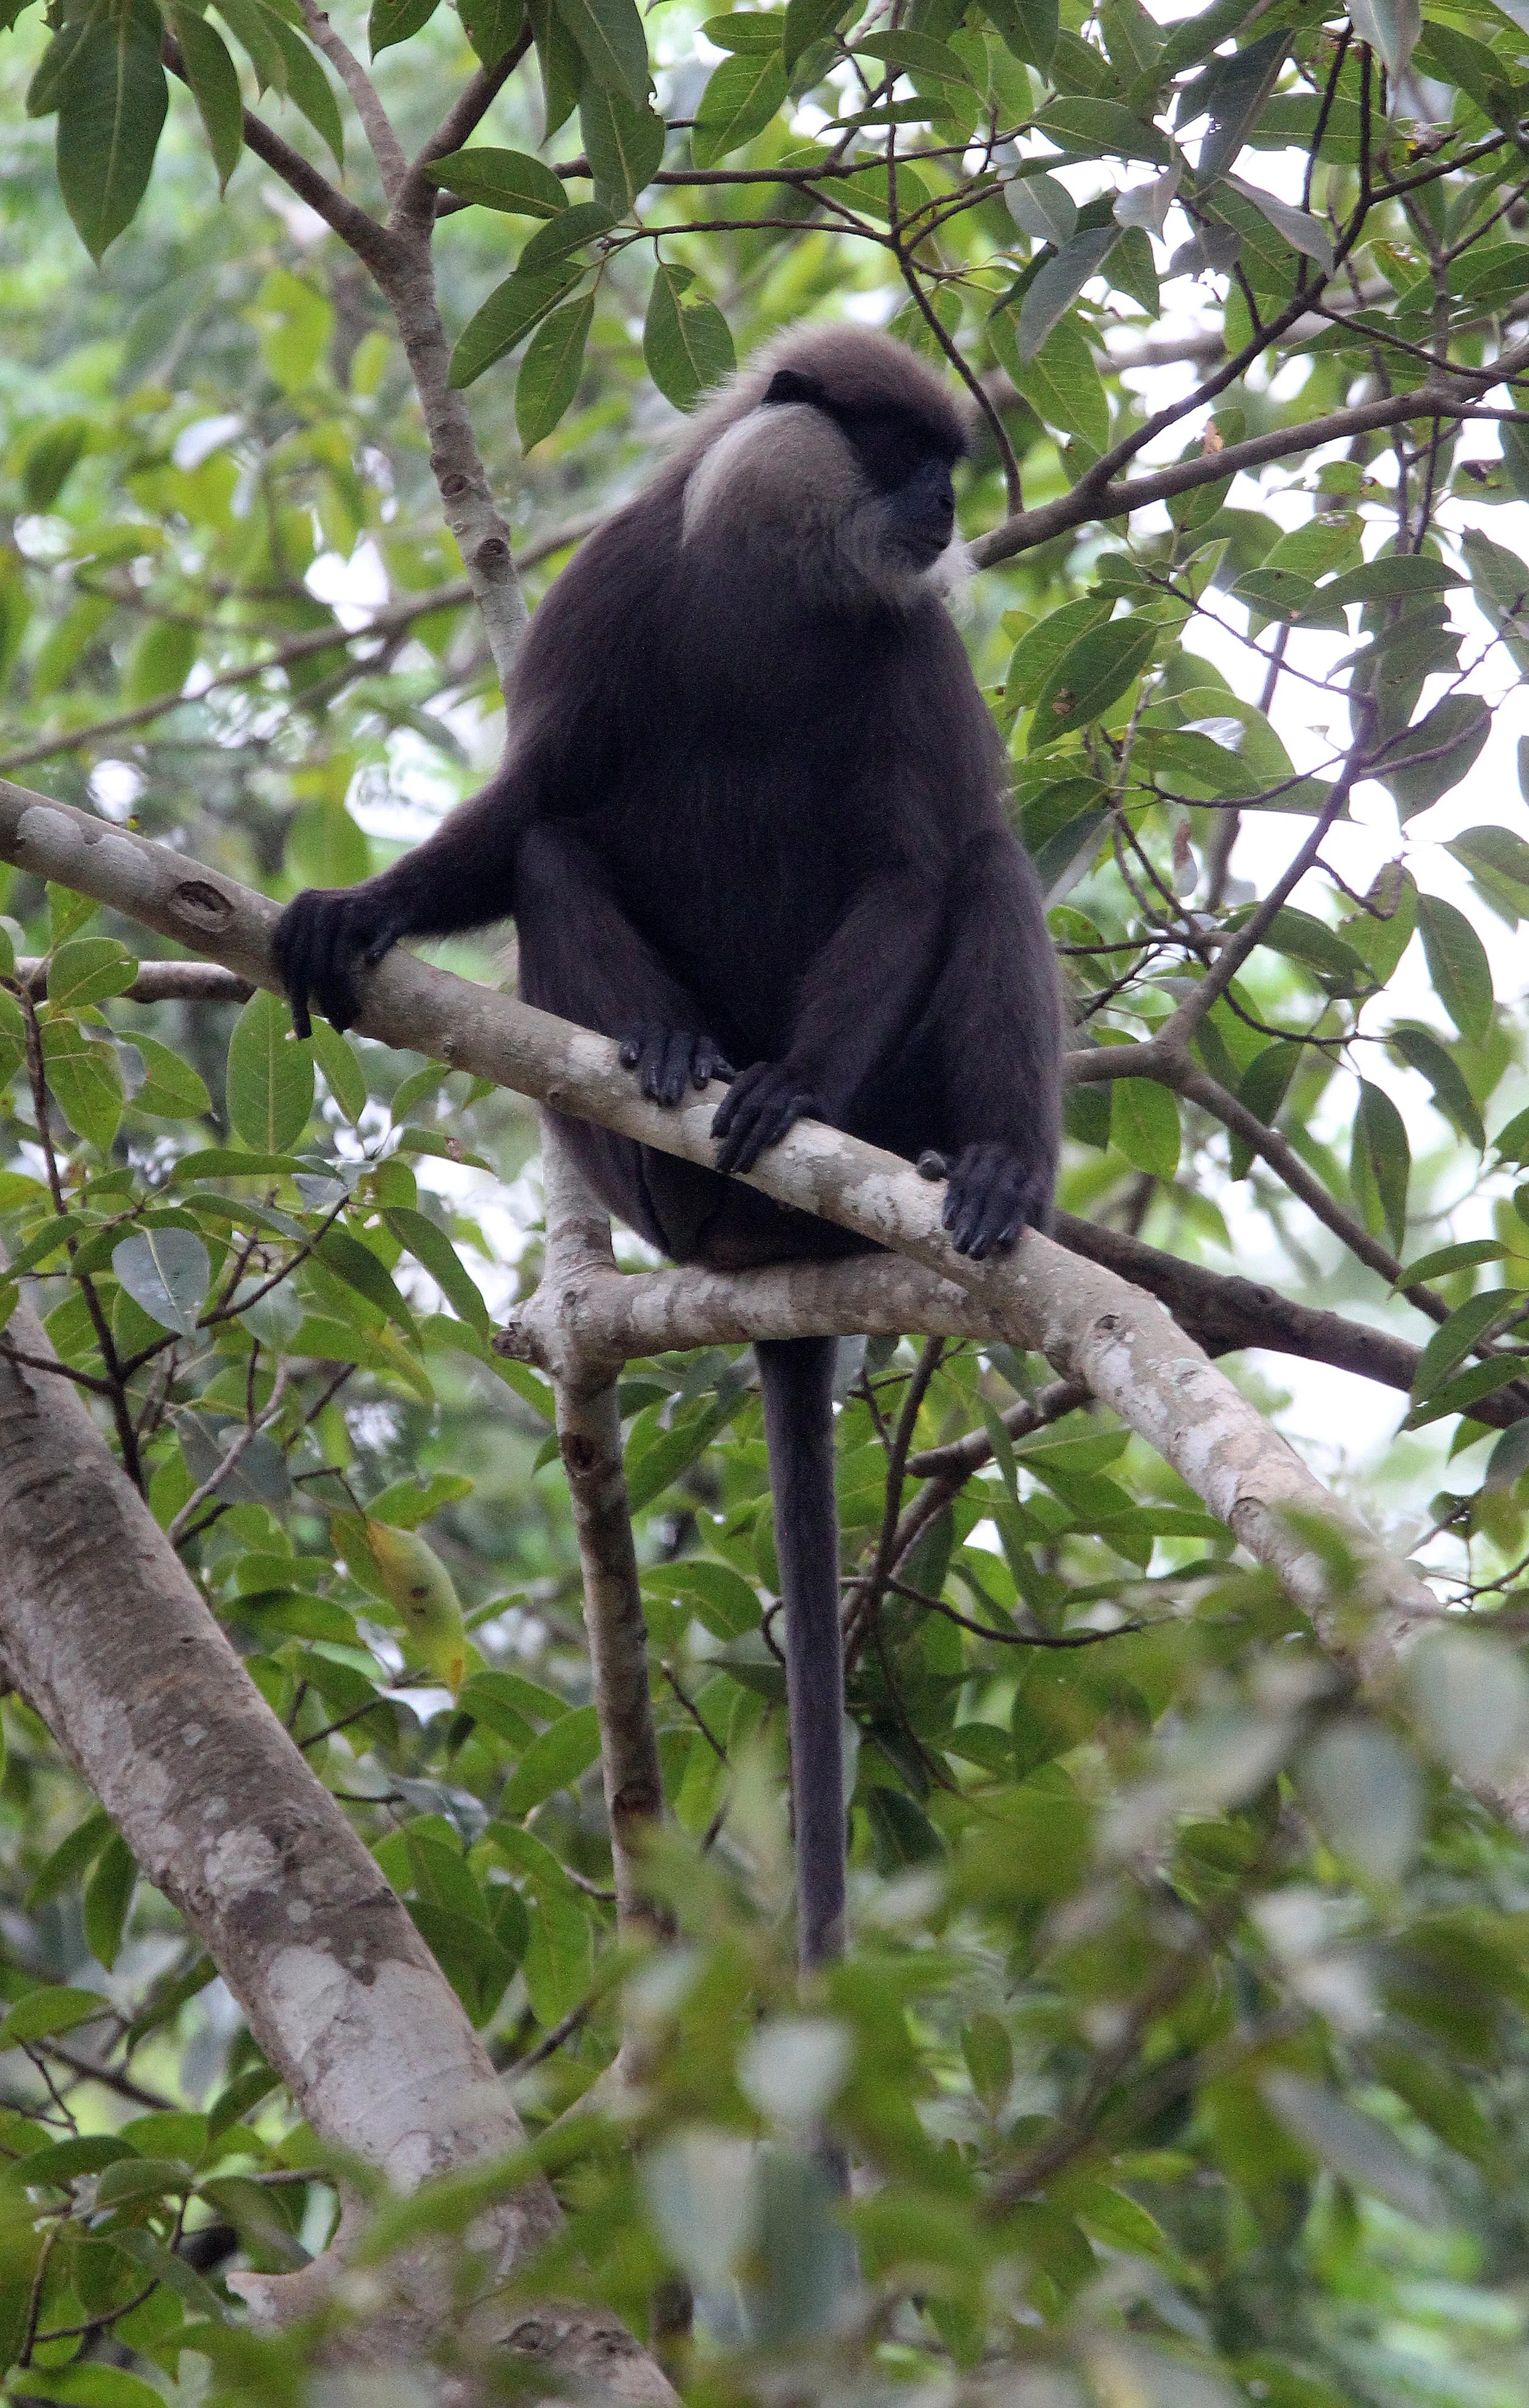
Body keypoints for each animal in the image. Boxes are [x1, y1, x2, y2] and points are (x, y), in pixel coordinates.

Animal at [275, 323, 1063, 1981]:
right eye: (906, 452)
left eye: (947, 463)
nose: (949, 509)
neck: (773, 586)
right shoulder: (616, 583)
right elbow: (529, 809)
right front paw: (361, 910)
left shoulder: (913, 645)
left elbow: (916, 869)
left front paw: (789, 1092)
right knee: (557, 851)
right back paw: (670, 1067)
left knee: (984, 865)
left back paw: (985, 1178)